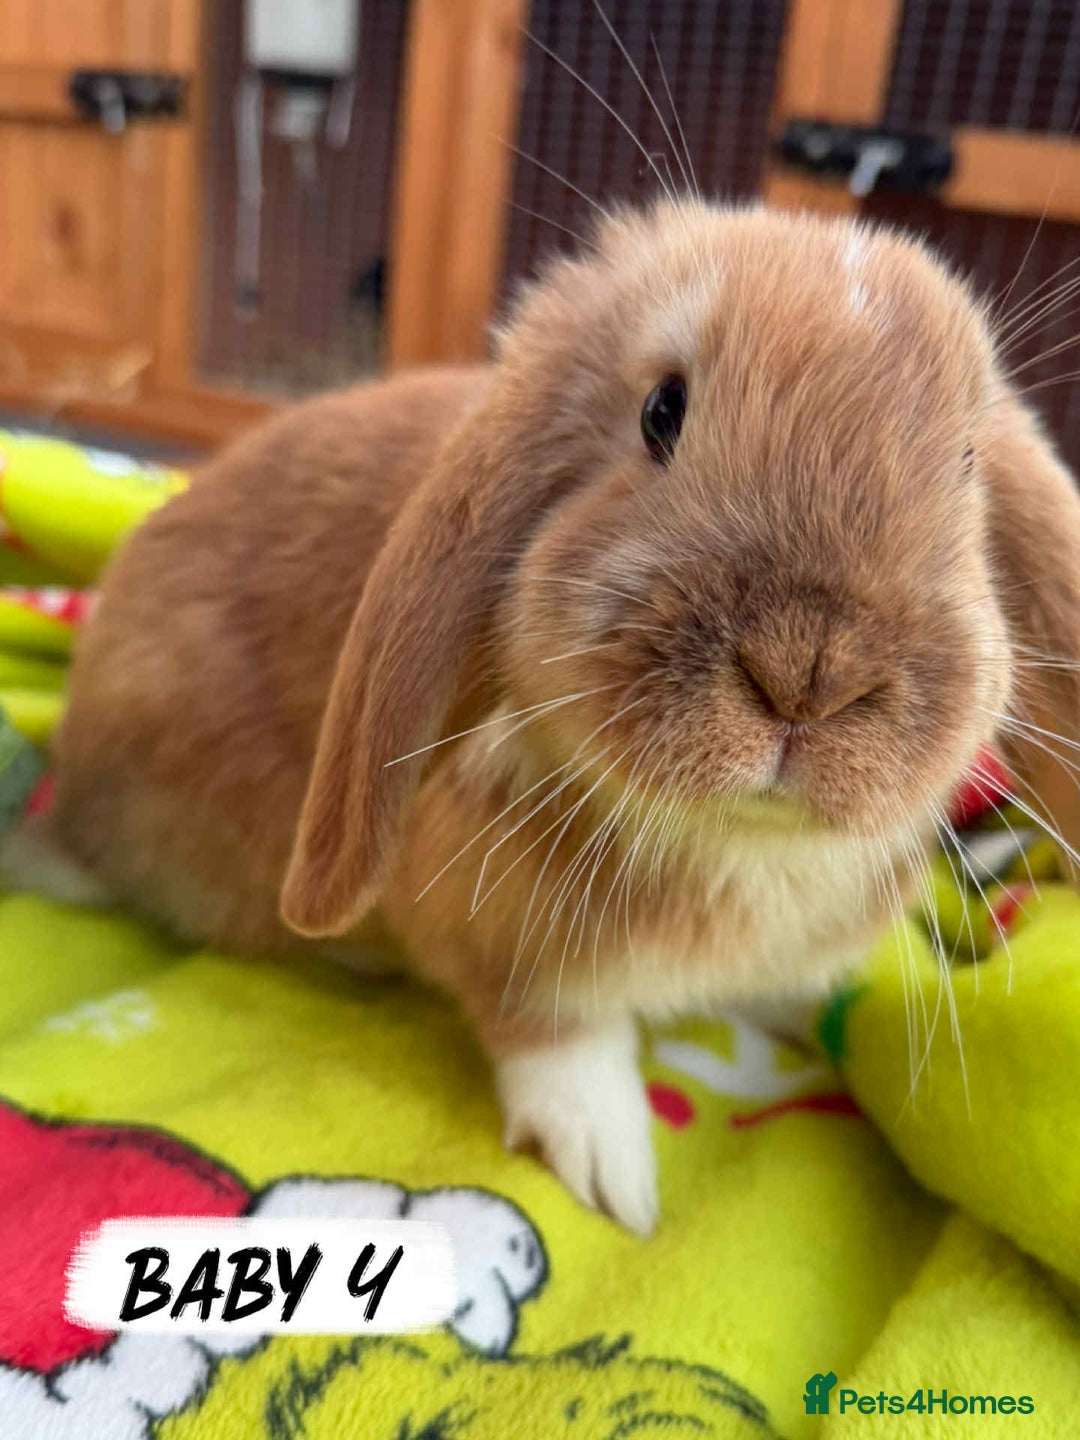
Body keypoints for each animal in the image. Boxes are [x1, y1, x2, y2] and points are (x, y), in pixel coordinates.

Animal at [50, 203, 1080, 1233]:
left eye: (967, 463)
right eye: (662, 412)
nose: (810, 673)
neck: (738, 843)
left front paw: (826, 1024)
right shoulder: (505, 937)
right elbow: (563, 1043)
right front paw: (614, 1173)